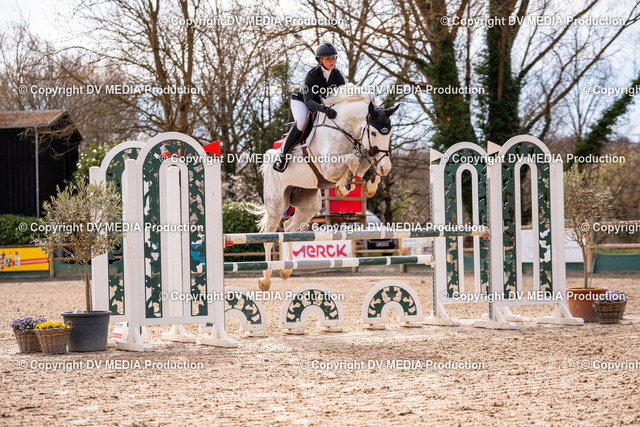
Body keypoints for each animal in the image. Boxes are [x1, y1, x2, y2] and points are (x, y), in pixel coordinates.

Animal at [252, 86, 399, 291]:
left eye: (390, 133)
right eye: (374, 133)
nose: (386, 167)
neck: (344, 128)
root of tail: (268, 160)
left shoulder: (363, 154)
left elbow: (363, 162)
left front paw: (367, 186)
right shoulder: (330, 165)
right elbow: (353, 159)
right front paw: (344, 187)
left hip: (308, 205)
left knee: (289, 227)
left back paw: (287, 270)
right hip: (276, 205)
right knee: (268, 235)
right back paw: (265, 280)